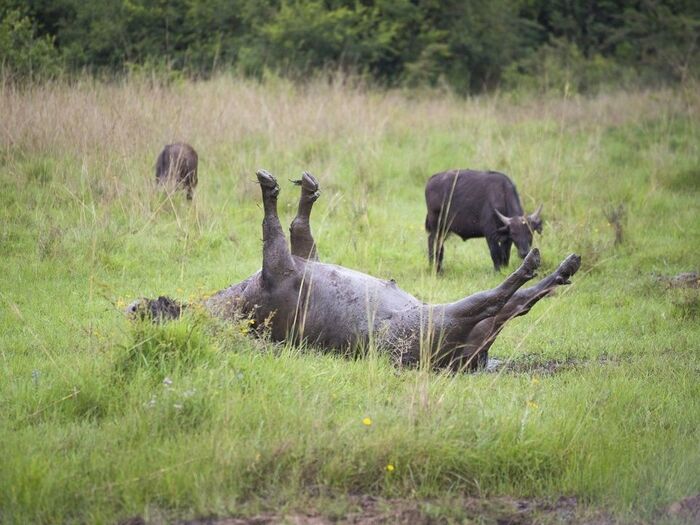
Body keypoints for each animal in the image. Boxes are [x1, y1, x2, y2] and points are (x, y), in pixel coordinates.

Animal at [130, 170, 580, 370]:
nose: (135, 306)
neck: (222, 305)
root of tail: (475, 356)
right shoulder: (276, 270)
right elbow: (272, 226)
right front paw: (269, 190)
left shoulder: (301, 257)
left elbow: (298, 228)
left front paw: (306, 191)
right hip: (434, 322)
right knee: (497, 300)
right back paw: (534, 266)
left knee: (515, 305)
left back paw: (561, 269)